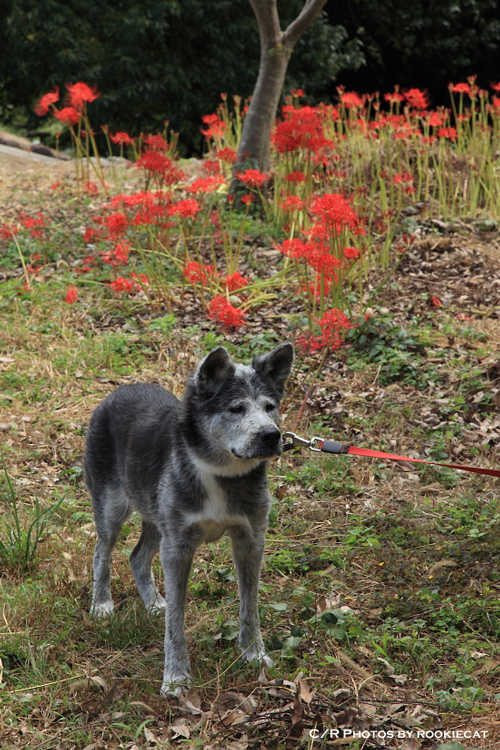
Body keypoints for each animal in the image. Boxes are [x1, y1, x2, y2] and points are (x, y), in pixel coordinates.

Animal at [83, 346, 292, 700]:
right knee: (102, 551)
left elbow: (249, 606)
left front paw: (253, 653)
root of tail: (120, 390)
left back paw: (153, 603)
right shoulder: (178, 548)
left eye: (270, 406)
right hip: (113, 508)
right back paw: (102, 605)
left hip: (155, 517)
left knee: (137, 556)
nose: (271, 435)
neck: (219, 471)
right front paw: (176, 677)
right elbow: (176, 622)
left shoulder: (251, 539)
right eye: (236, 409)